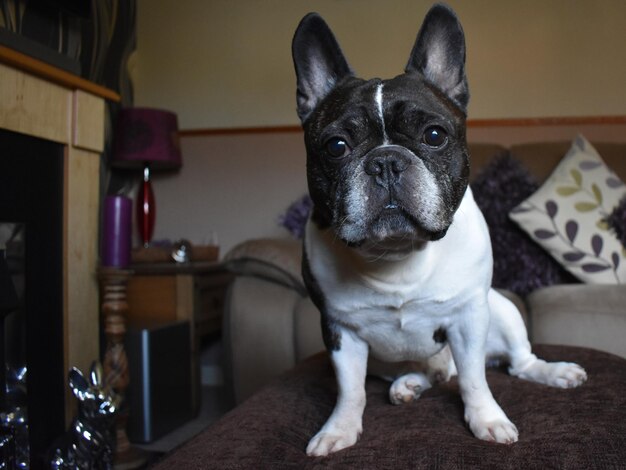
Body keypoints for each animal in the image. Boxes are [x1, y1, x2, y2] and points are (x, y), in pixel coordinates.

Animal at [292, 2, 584, 458]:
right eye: (336, 146)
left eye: (434, 135)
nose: (386, 161)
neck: (398, 255)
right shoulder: (341, 331)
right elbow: (349, 390)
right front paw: (339, 429)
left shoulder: (468, 317)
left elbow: (475, 380)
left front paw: (486, 420)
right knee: (430, 372)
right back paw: (408, 384)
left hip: (502, 309)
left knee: (517, 363)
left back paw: (553, 372)